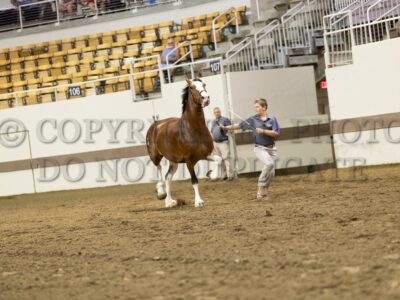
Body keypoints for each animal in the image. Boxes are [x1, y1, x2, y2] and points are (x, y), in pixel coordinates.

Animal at [146, 78, 214, 207]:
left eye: (204, 84)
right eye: (192, 87)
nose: (206, 98)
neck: (194, 129)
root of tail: (155, 124)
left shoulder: (207, 154)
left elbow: (220, 160)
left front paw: (213, 174)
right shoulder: (189, 161)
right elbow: (194, 180)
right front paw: (199, 202)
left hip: (174, 161)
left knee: (167, 177)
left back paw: (169, 201)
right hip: (155, 156)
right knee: (159, 169)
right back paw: (161, 193)